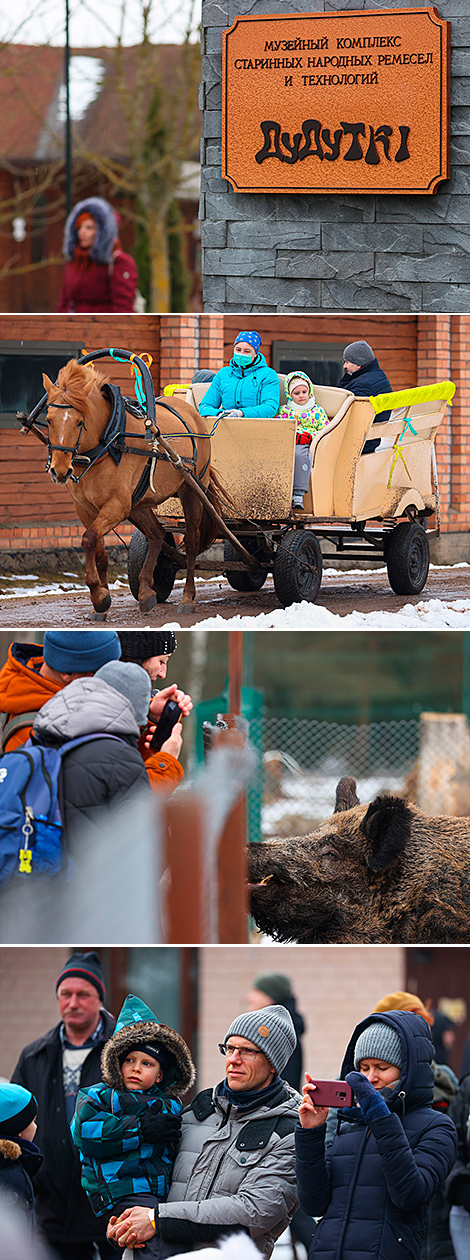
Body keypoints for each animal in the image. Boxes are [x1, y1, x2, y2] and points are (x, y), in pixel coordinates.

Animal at [42, 360, 221, 614]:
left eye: (79, 422)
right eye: (48, 419)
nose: (59, 470)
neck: (108, 443)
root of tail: (191, 413)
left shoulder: (117, 506)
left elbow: (88, 539)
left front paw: (98, 593)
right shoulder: (85, 508)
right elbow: (97, 547)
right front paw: (101, 598)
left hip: (192, 491)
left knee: (193, 541)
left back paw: (187, 597)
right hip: (140, 504)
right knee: (156, 534)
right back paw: (147, 590)